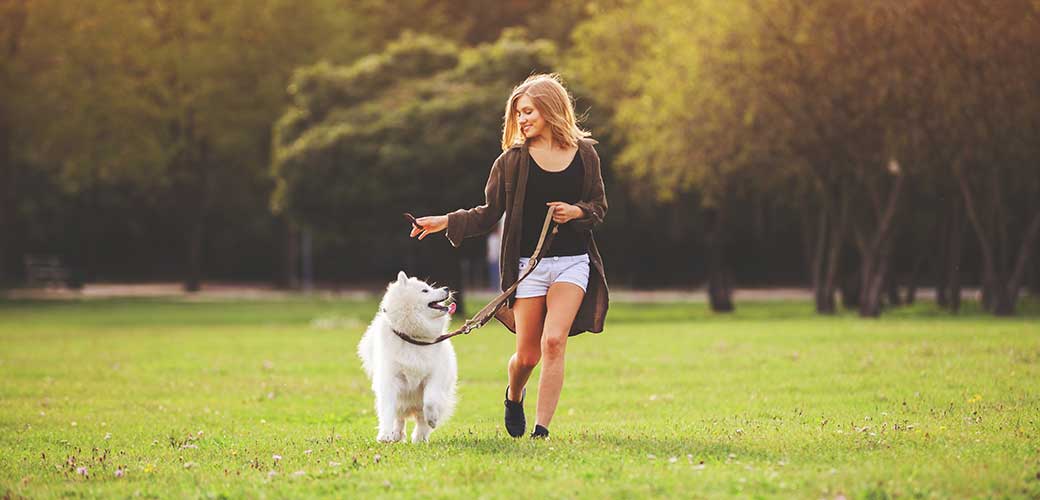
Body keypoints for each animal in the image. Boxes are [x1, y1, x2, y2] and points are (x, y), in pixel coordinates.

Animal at [357, 270, 455, 442]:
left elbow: (430, 401)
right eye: (425, 290)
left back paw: (420, 437)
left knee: (421, 419)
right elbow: (387, 410)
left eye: (429, 286)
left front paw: (432, 419)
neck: (412, 337)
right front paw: (385, 434)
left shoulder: (435, 375)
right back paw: (396, 434)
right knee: (400, 417)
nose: (447, 288)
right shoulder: (389, 380)